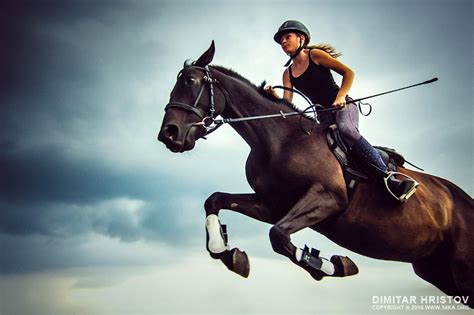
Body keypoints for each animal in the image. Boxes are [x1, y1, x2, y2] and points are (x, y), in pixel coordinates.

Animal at [158, 42, 474, 308]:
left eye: (191, 82)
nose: (168, 134)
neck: (278, 140)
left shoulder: (328, 198)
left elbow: (278, 236)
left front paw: (332, 265)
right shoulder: (272, 205)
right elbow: (215, 201)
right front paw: (228, 253)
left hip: (462, 268)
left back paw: (399, 183)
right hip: (437, 270)